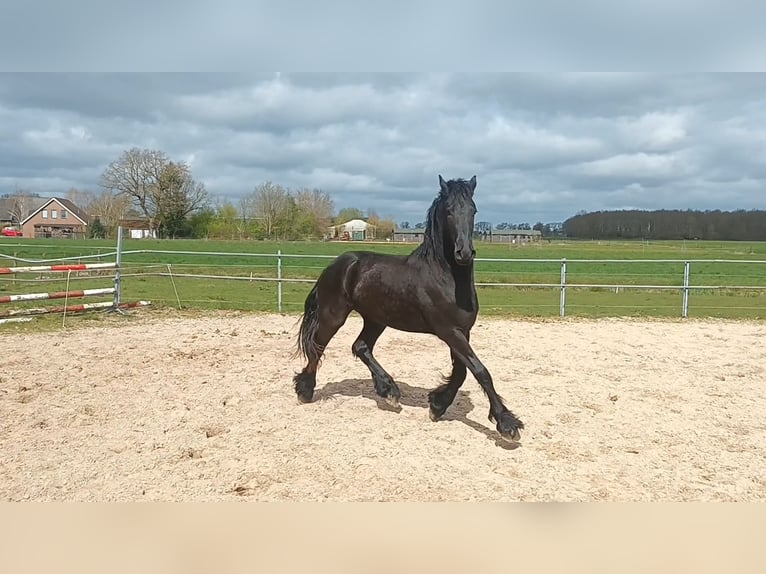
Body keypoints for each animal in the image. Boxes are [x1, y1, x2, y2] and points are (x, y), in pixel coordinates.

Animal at [292, 175, 524, 442]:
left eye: (473, 210)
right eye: (449, 211)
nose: (464, 253)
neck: (445, 278)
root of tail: (335, 265)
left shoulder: (462, 331)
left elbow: (462, 372)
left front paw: (437, 405)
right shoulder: (448, 331)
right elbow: (480, 370)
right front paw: (507, 424)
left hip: (376, 319)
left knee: (360, 347)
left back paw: (388, 390)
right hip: (334, 315)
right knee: (317, 347)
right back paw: (305, 391)